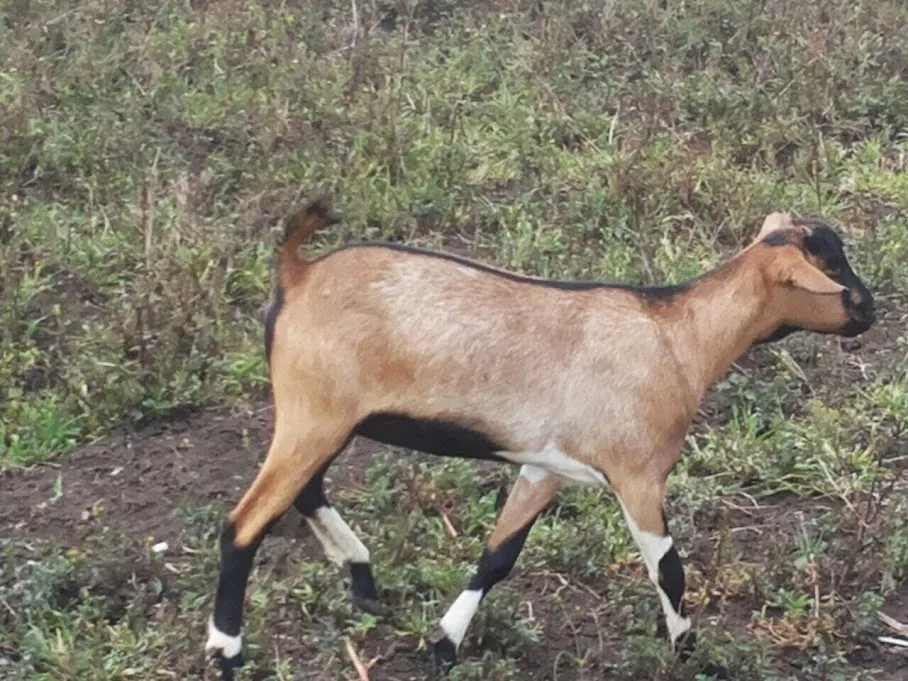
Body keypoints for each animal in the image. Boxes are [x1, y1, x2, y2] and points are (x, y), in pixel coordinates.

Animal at [205, 201, 875, 680]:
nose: (871, 309)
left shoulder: (546, 468)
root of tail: (298, 272)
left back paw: (363, 579)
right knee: (244, 524)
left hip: (323, 422)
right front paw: (690, 652)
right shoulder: (638, 476)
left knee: (304, 491)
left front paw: (443, 644)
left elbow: (498, 556)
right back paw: (227, 650)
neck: (678, 338)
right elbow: (669, 569)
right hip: (313, 414)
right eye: (831, 269)